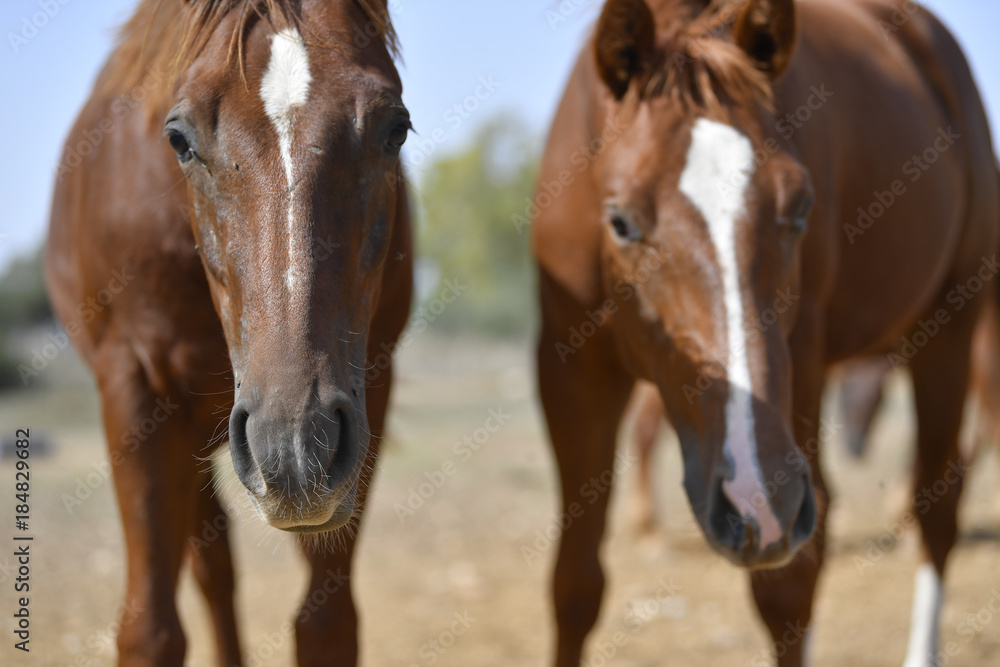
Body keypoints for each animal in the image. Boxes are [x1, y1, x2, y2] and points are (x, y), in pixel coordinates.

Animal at [45, 1, 411, 665]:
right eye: (179, 139)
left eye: (396, 128)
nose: (295, 448)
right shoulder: (133, 389)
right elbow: (151, 631)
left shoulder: (374, 382)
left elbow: (327, 626)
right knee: (211, 571)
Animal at [531, 0, 999, 664]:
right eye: (619, 221)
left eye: (800, 206)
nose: (751, 499)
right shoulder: (569, 372)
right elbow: (574, 584)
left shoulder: (800, 371)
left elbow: (788, 587)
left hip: (950, 328)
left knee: (936, 503)